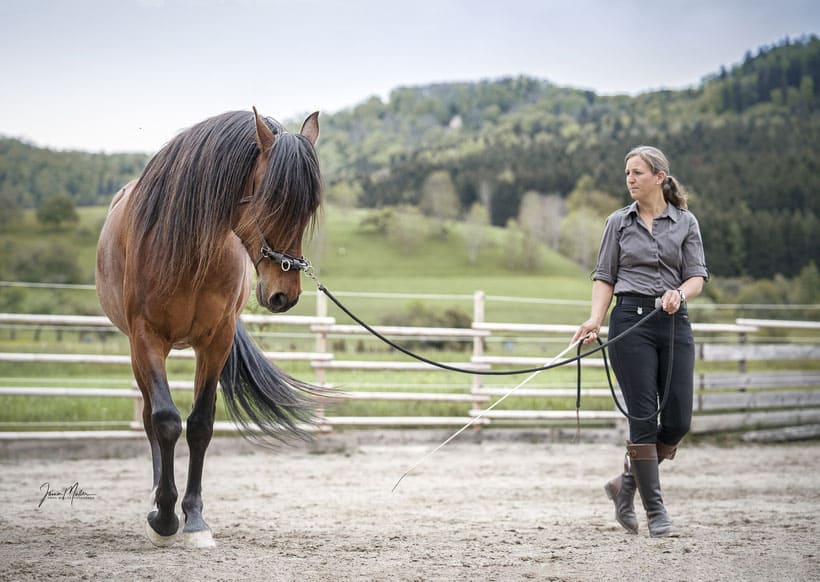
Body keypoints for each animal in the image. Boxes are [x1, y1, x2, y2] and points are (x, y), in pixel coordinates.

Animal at [96, 107, 324, 548]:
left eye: (309, 208)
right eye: (271, 202)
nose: (284, 294)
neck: (189, 252)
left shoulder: (216, 342)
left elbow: (200, 425)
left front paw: (195, 519)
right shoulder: (147, 338)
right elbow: (166, 421)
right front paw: (165, 518)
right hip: (138, 352)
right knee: (150, 417)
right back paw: (156, 498)